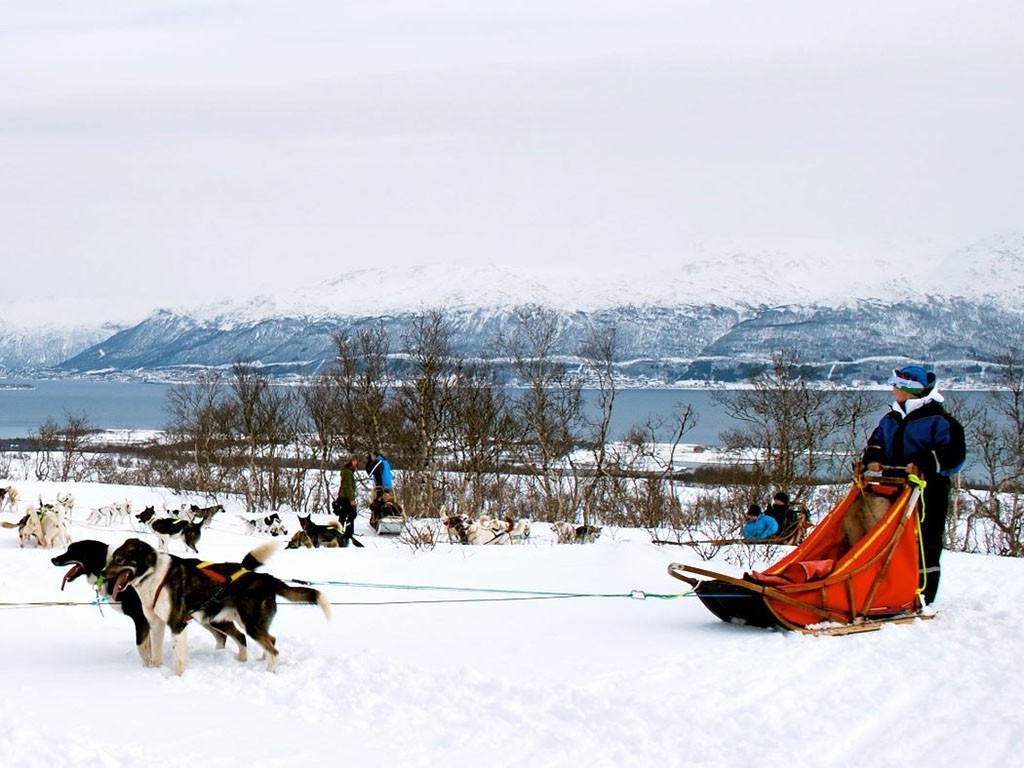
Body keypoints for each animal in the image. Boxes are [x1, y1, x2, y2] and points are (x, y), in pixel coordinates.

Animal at [102, 536, 329, 675]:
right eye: (111, 558)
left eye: (119, 558)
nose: (103, 573)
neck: (153, 575)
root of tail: (267, 578)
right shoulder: (156, 625)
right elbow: (155, 655)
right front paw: (156, 672)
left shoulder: (177, 625)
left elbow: (178, 660)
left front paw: (177, 678)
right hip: (239, 622)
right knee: (268, 639)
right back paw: (253, 661)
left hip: (250, 624)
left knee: (273, 649)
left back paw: (269, 672)